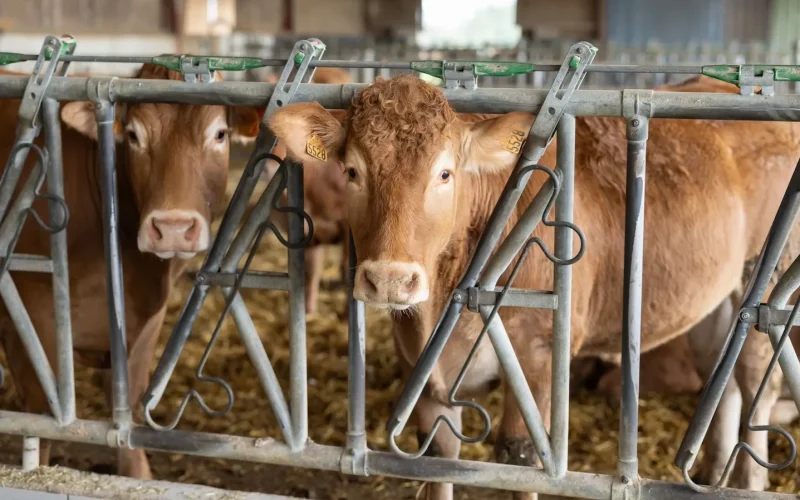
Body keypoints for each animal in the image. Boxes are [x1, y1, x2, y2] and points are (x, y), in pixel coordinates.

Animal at [0, 65, 260, 476]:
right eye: (134, 136)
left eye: (219, 134)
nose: (173, 227)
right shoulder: (31, 317)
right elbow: (41, 420)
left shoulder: (145, 321)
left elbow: (129, 415)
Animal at [268, 72, 800, 498]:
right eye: (352, 170)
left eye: (445, 172)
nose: (389, 279)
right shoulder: (419, 366)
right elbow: (437, 459)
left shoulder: (540, 356)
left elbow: (522, 461)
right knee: (720, 373)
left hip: (765, 282)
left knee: (754, 379)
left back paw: (748, 480)